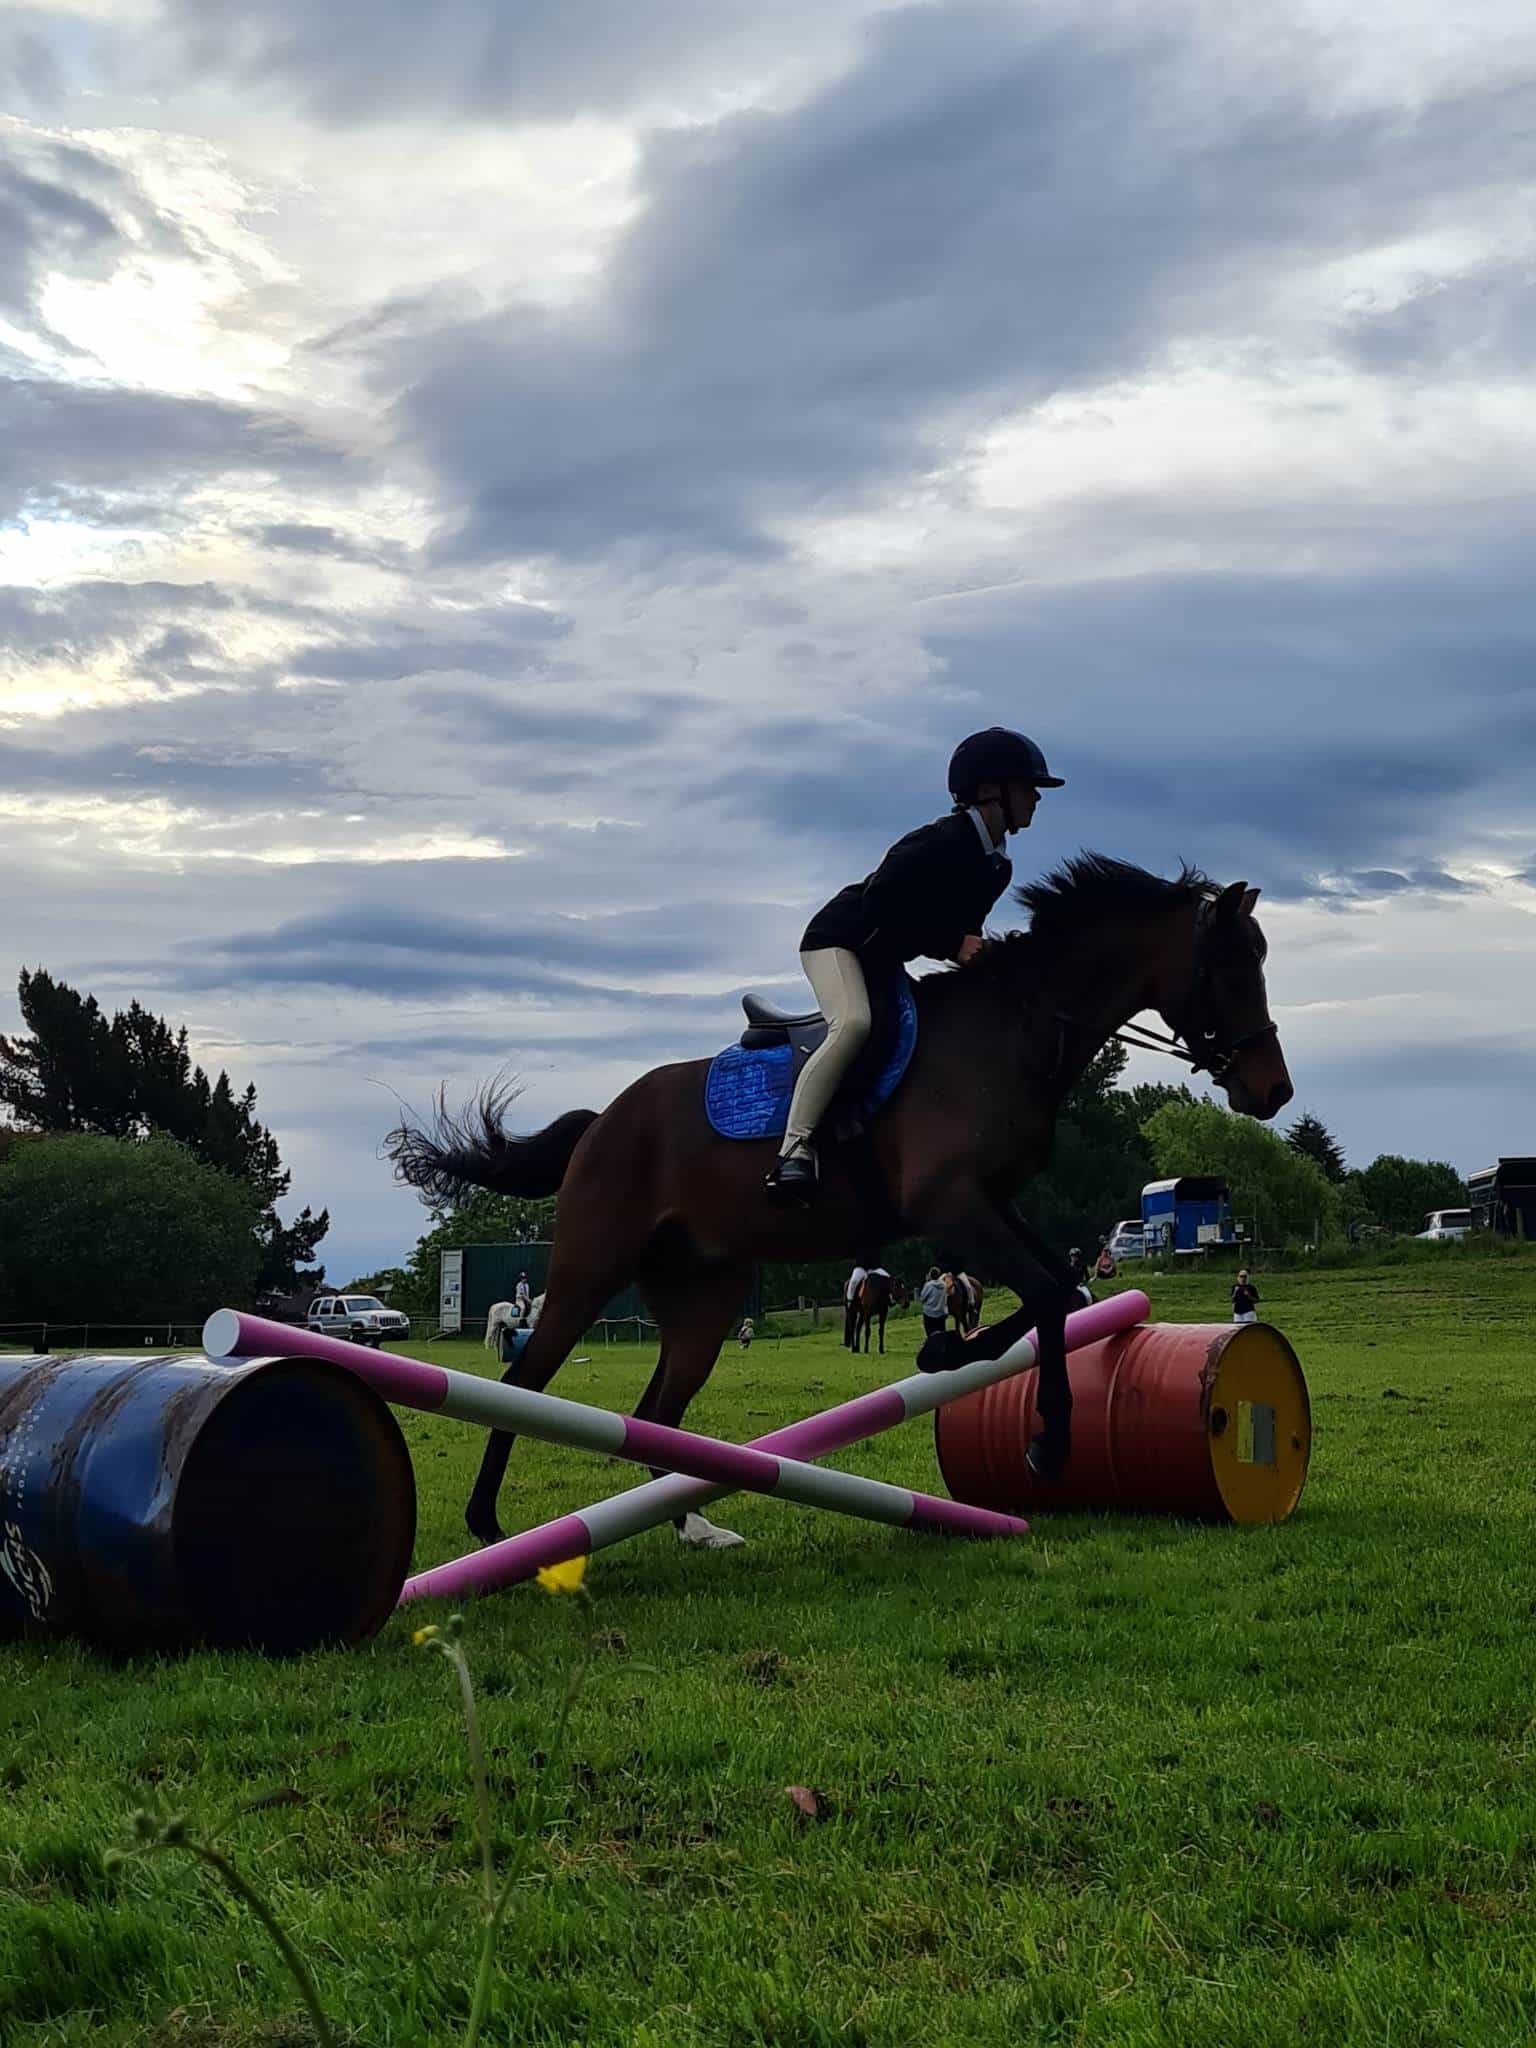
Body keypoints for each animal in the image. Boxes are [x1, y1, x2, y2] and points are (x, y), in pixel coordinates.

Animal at [388, 858, 1291, 1551]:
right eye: (1228, 967)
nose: (1273, 1091)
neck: (1015, 1026)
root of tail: (602, 1121)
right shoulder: (948, 1203)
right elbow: (1044, 1294)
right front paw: (1041, 1440)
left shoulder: (989, 1202)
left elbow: (1061, 1292)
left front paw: (949, 1357)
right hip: (588, 1267)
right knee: (528, 1380)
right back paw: (486, 1522)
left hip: (704, 1297)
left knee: (656, 1410)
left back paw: (694, 1529)